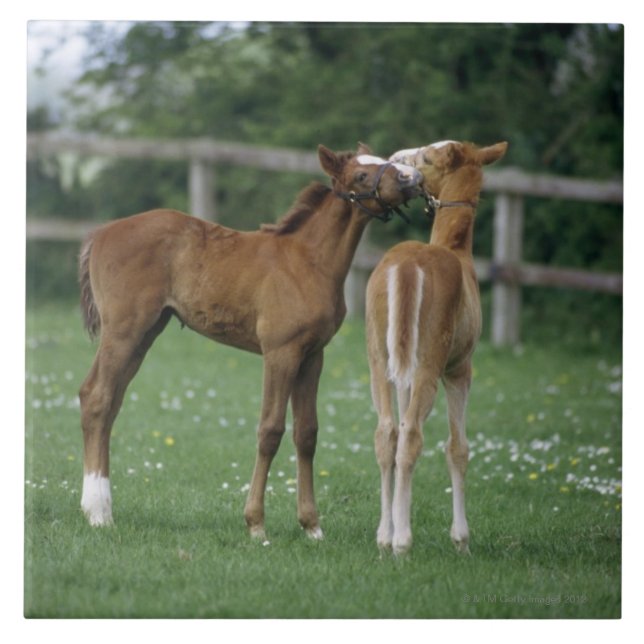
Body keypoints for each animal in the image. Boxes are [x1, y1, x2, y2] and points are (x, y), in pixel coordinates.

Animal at [78, 143, 423, 540]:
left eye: (385, 161)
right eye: (362, 175)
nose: (411, 177)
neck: (308, 261)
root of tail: (102, 233)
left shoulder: (312, 356)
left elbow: (307, 433)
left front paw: (312, 527)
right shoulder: (280, 352)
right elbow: (270, 430)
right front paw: (256, 525)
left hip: (145, 334)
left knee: (110, 403)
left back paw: (99, 506)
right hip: (124, 331)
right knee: (96, 397)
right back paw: (98, 513)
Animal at [365, 139, 508, 554]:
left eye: (427, 156)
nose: (397, 159)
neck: (455, 248)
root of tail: (406, 266)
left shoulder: (405, 372)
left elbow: (396, 432)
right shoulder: (460, 369)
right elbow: (457, 448)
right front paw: (462, 539)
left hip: (380, 357)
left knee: (387, 433)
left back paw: (384, 537)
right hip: (430, 361)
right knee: (412, 435)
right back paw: (402, 542)